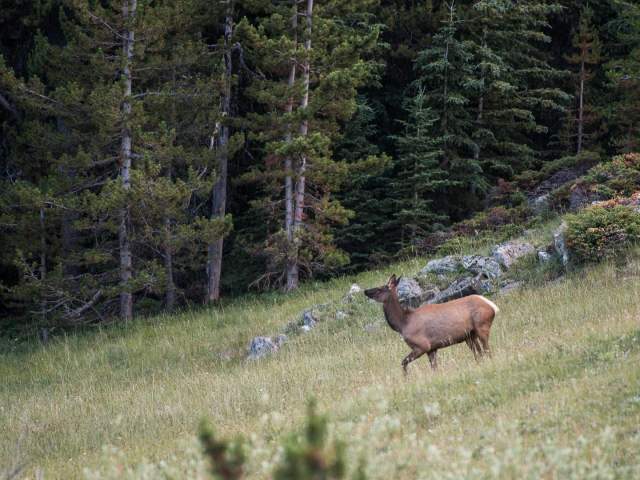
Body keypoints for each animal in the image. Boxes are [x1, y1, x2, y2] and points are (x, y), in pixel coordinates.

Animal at [364, 274, 499, 374]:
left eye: (379, 289)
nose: (366, 291)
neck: (402, 324)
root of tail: (492, 306)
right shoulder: (432, 348)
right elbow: (434, 368)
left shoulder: (422, 345)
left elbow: (403, 362)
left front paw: (406, 379)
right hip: (470, 335)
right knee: (479, 354)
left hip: (482, 326)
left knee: (487, 351)